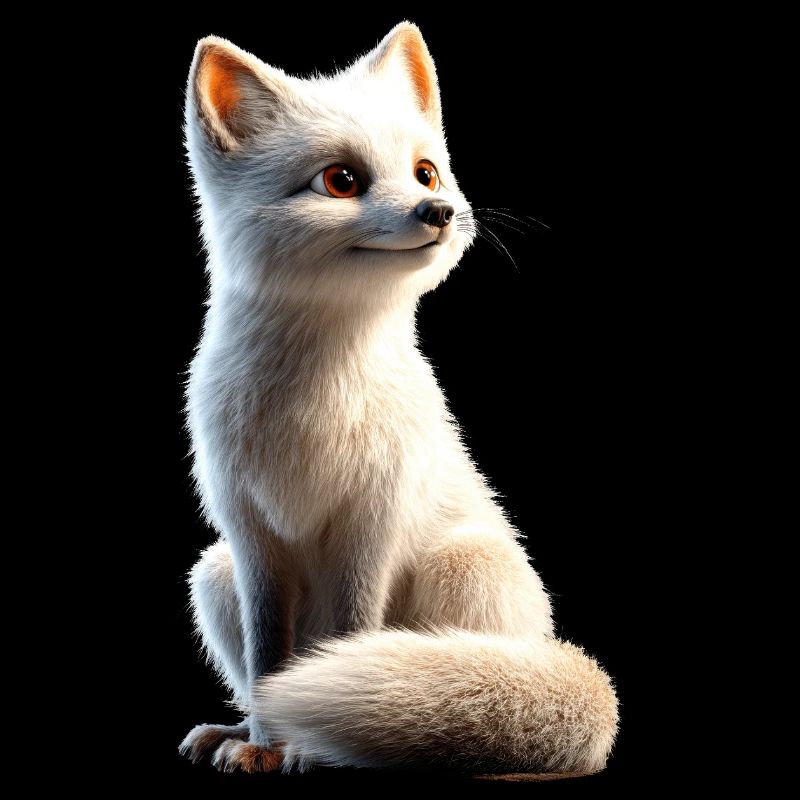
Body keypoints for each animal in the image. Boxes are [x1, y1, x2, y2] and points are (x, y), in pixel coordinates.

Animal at [179, 22, 618, 776]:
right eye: (342, 180)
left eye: (426, 172)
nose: (437, 211)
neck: (313, 406)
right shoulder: (250, 532)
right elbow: (269, 661)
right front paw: (265, 744)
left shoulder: (373, 517)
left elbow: (352, 633)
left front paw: (310, 751)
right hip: (214, 574)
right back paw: (237, 733)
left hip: (465, 565)